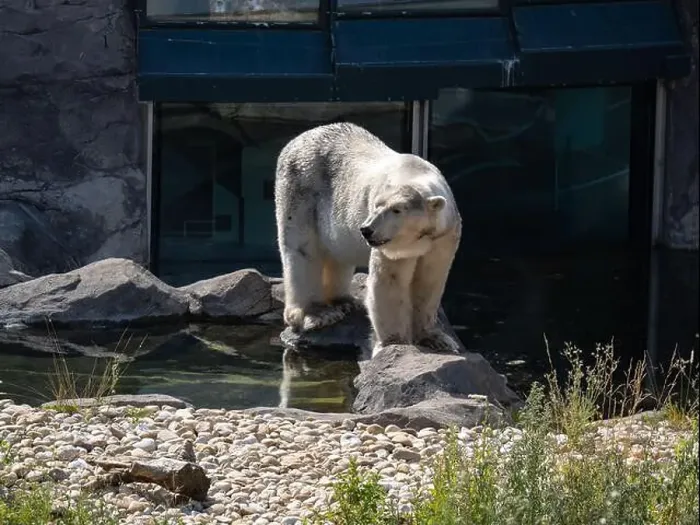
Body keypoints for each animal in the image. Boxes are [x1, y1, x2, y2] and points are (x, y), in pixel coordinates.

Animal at [274, 122, 462, 356]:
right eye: (376, 205)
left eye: (397, 210)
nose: (367, 230)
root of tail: (295, 140)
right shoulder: (391, 247)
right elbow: (389, 280)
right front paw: (392, 344)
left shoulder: (442, 237)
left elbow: (430, 279)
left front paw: (437, 339)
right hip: (301, 189)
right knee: (302, 250)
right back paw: (317, 314)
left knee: (337, 254)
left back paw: (344, 301)